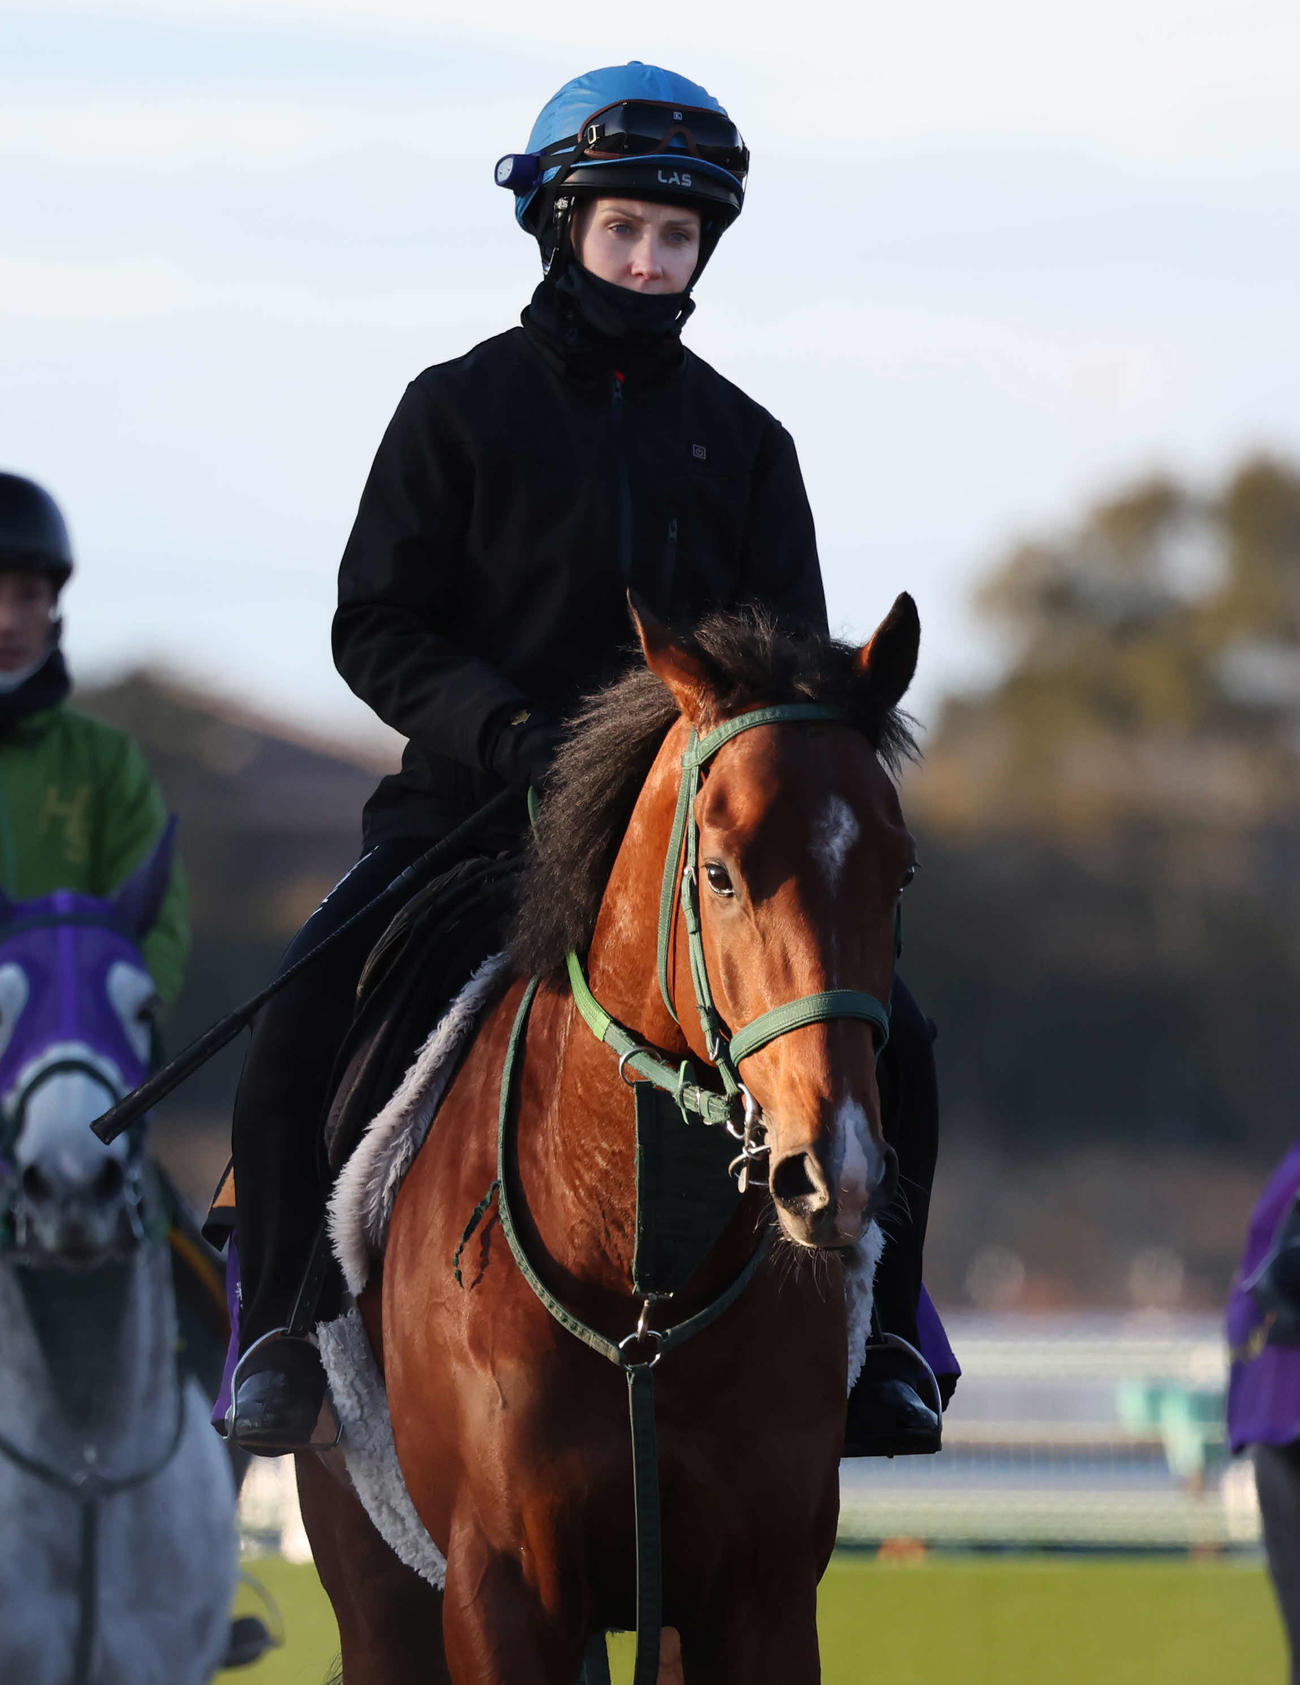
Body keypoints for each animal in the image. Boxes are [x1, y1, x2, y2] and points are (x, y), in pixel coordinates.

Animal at [302, 596, 922, 1684]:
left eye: (899, 871)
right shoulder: (501, 1592)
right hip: (379, 1596)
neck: (636, 1277)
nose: (834, 1170)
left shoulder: (758, 1600)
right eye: (719, 873)